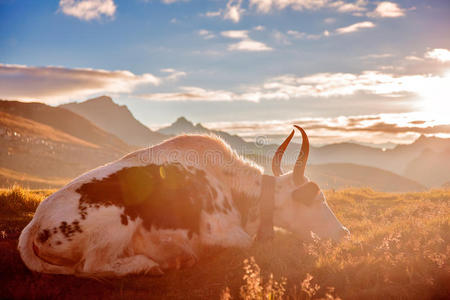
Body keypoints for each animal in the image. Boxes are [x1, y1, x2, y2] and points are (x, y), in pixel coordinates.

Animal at [18, 126, 348, 276]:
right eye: (318, 199)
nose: (344, 232)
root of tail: (36, 221)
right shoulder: (222, 233)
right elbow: (249, 243)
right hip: (114, 224)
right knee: (93, 267)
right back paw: (155, 263)